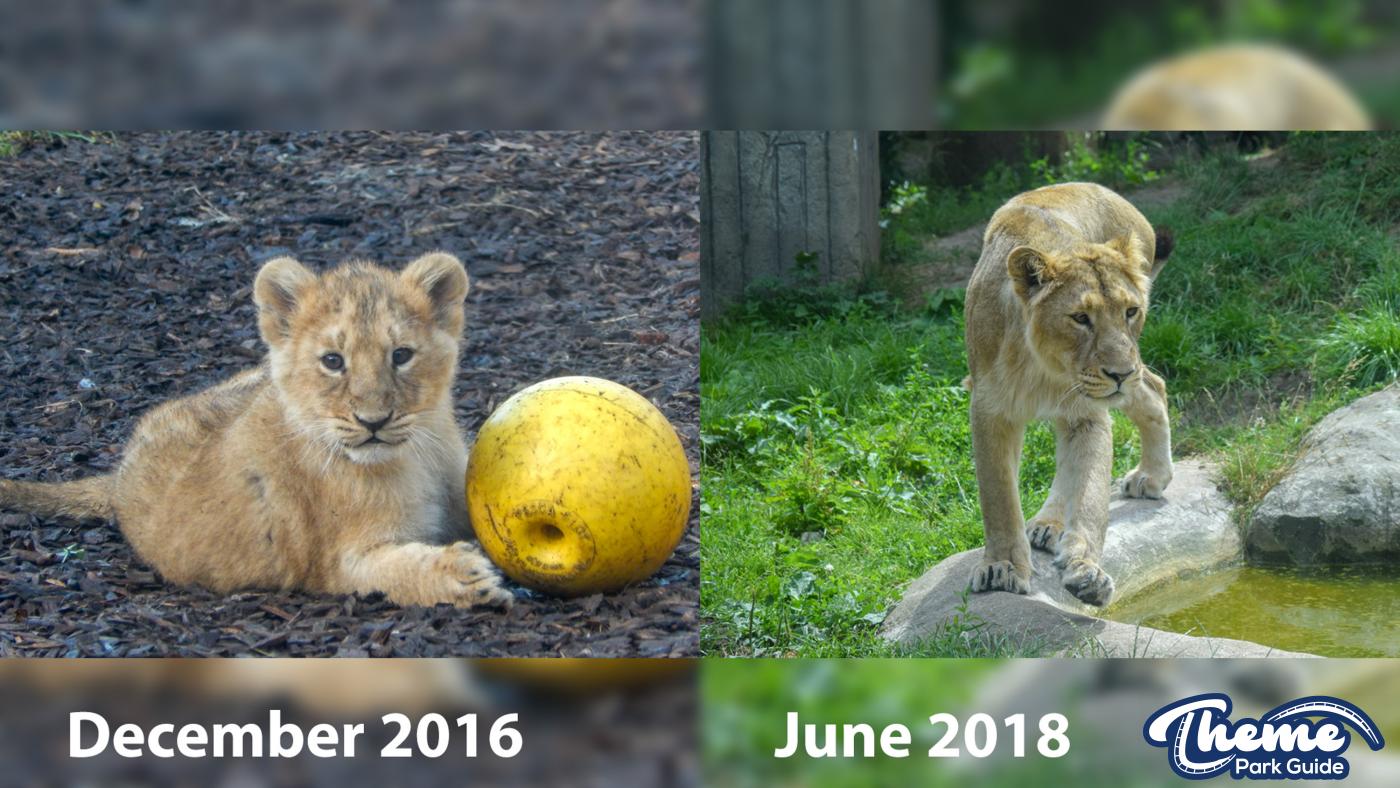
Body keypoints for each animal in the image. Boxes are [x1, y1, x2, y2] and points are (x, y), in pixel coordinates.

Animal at [0, 252, 512, 609]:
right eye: (333, 361)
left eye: (401, 355)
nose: (373, 421)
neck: (415, 455)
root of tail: (119, 476)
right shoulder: (341, 563)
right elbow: (398, 572)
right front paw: (463, 575)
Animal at [964, 182, 1174, 606]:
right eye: (1080, 318)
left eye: (1130, 311)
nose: (1119, 374)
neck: (1042, 366)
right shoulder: (989, 410)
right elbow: (999, 498)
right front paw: (1002, 568)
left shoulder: (1088, 412)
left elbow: (1091, 495)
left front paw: (1087, 570)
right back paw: (1049, 523)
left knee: (1152, 387)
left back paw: (1151, 475)